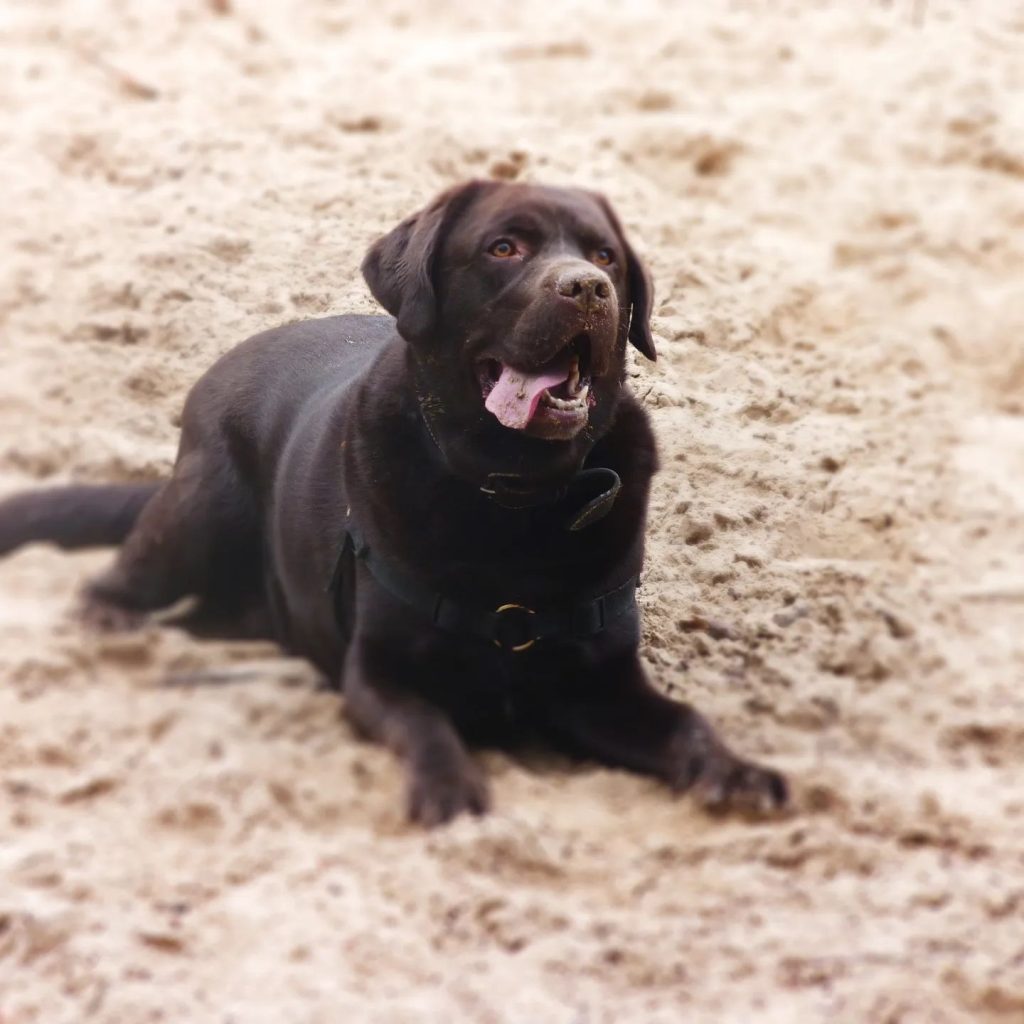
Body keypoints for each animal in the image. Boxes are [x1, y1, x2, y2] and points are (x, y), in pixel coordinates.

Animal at [0, 182, 786, 823]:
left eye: (605, 256)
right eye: (505, 247)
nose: (588, 288)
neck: (515, 497)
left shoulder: (602, 684)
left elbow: (686, 722)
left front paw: (735, 770)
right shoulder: (377, 673)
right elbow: (426, 725)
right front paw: (450, 791)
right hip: (201, 507)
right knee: (125, 572)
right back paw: (114, 621)